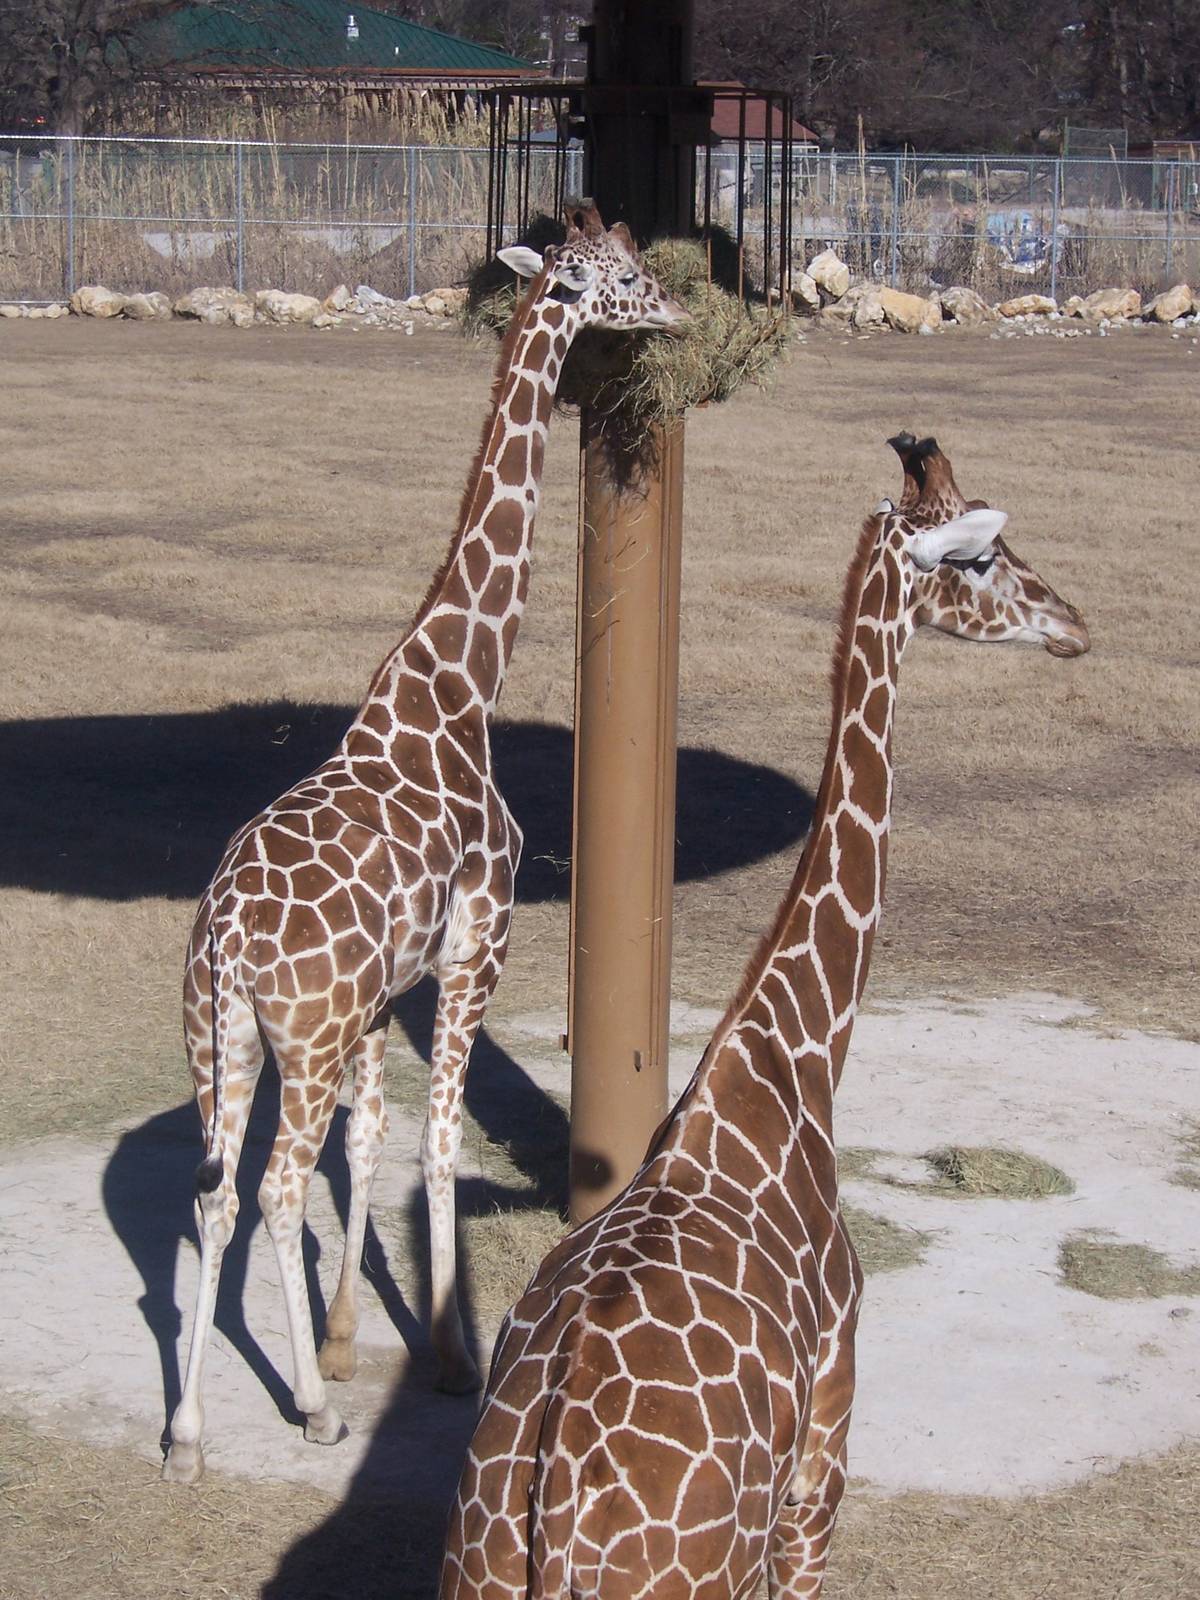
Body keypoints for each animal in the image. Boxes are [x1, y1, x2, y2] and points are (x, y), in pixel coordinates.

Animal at [162, 201, 689, 1486]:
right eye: (620, 274)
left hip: (221, 1037)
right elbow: (440, 1143)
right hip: (294, 1037)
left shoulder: (379, 994)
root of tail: (225, 939)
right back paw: (308, 1412)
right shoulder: (474, 947)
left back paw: (191, 1430)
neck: (459, 681)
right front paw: (446, 1355)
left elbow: (375, 1138)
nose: (678, 307)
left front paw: (352, 1340)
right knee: (272, 1190)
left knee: (214, 1196)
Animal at [440, 436, 1090, 1598]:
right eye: (982, 558)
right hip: (717, 1564)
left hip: (469, 1565)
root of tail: (554, 1518)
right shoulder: (831, 1426)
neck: (790, 1060)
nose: (1074, 624)